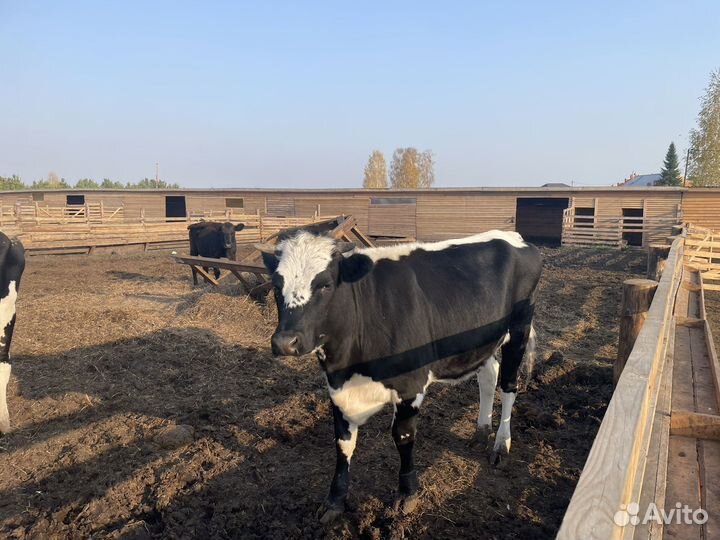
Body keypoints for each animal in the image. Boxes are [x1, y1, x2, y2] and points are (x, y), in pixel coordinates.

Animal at [256, 229, 541, 523]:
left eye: (325, 284)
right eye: (276, 286)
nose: (285, 342)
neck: (348, 364)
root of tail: (511, 236)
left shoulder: (410, 387)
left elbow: (403, 437)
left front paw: (407, 493)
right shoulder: (337, 389)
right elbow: (343, 443)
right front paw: (334, 500)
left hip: (518, 329)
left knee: (508, 385)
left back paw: (500, 444)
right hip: (481, 341)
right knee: (488, 377)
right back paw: (481, 432)